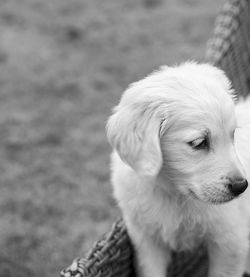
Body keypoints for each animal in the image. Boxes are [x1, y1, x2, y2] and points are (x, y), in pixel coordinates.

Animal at [106, 62, 250, 276]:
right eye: (199, 143)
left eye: (232, 134)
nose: (242, 186)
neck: (175, 193)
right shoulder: (146, 240)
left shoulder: (230, 241)